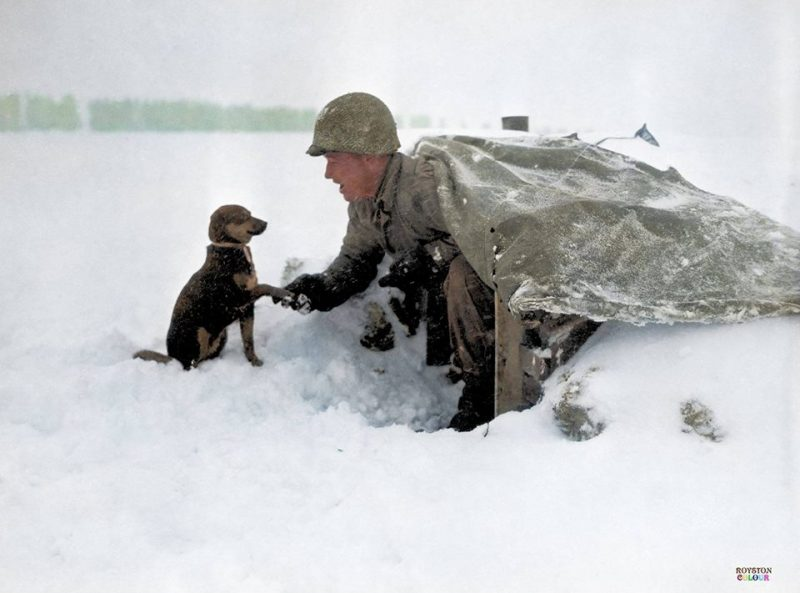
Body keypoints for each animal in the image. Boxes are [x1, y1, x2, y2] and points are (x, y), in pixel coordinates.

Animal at [134, 206, 290, 368]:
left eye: (250, 214)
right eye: (243, 217)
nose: (265, 223)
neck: (230, 251)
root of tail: (172, 357)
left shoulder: (247, 310)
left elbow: (248, 342)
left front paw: (254, 362)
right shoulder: (236, 297)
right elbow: (264, 286)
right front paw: (282, 291)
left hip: (222, 335)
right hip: (199, 334)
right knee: (192, 363)